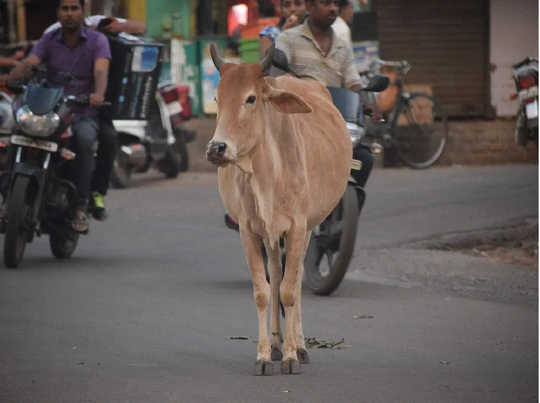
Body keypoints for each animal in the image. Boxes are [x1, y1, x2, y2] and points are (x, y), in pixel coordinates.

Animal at [206, 42, 350, 378]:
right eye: (217, 98)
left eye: (250, 98)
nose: (216, 148)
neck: (265, 170)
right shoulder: (248, 230)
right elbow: (263, 291)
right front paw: (263, 356)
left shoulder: (297, 226)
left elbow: (288, 291)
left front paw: (291, 357)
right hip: (270, 236)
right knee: (275, 273)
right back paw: (274, 343)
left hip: (308, 227)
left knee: (293, 281)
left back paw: (299, 346)